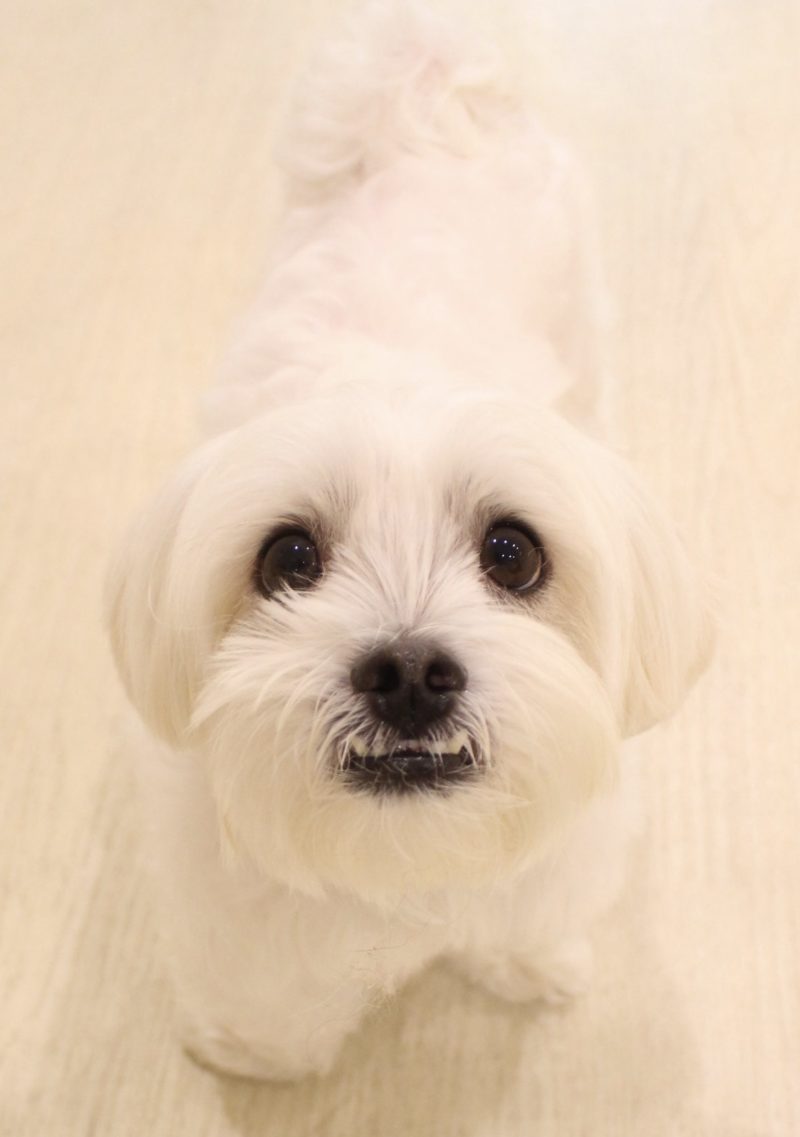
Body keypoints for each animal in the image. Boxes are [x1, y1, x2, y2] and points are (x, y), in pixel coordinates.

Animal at [106, 0, 710, 1081]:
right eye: (287, 559)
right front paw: (255, 1051)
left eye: (513, 553)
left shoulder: (557, 852)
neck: (404, 856)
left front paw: (527, 967)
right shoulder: (235, 905)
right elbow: (262, 990)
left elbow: (526, 917)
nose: (409, 674)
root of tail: (425, 86)